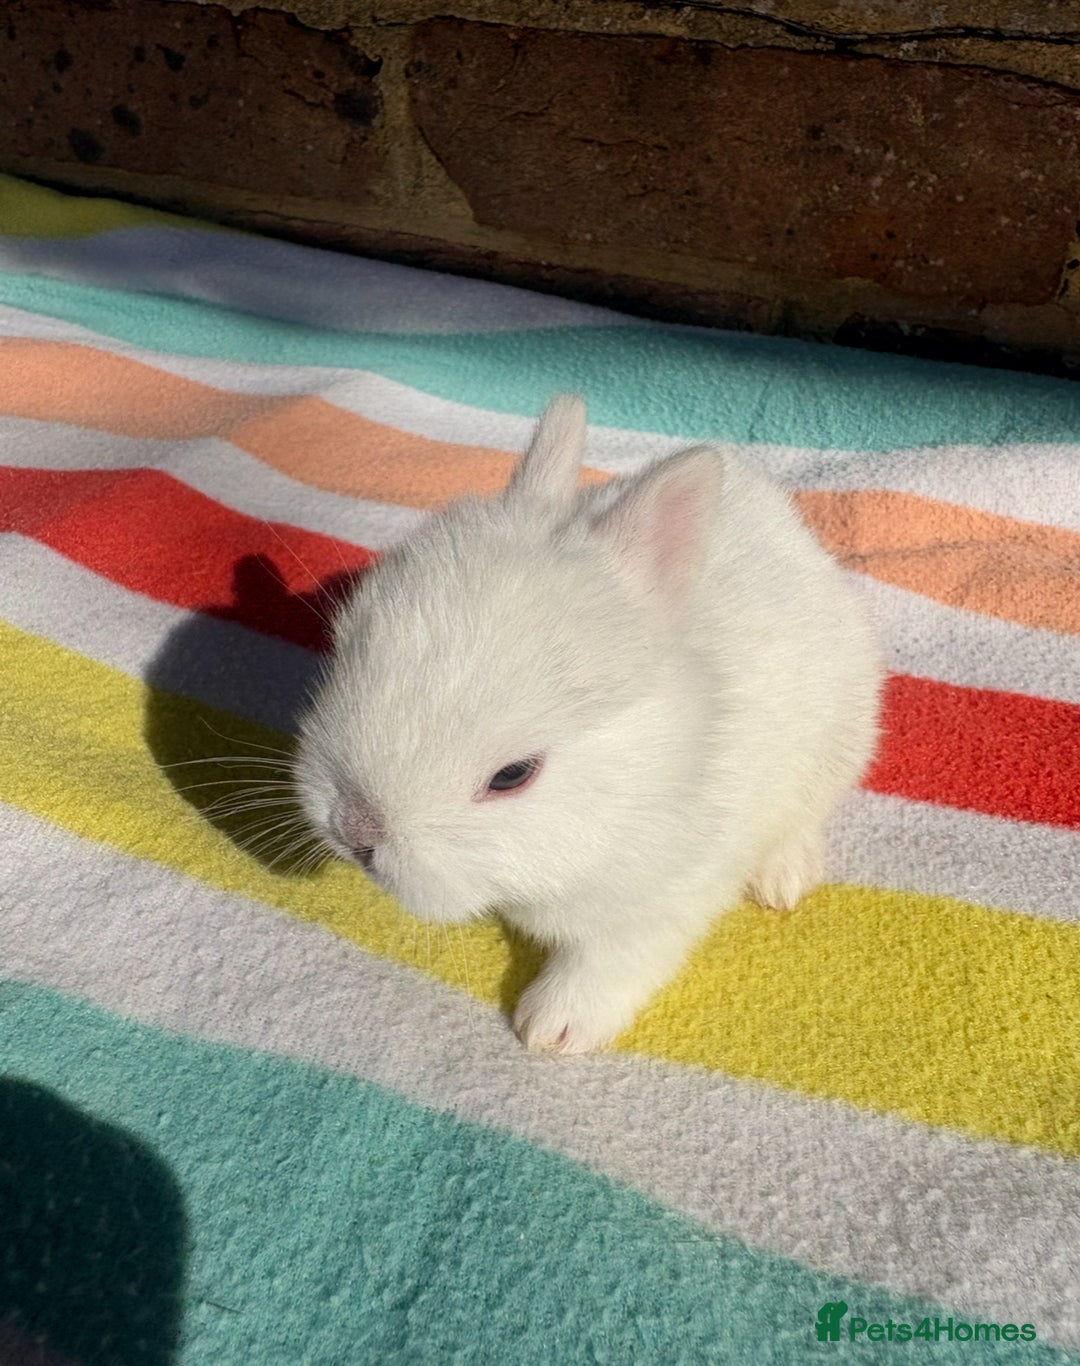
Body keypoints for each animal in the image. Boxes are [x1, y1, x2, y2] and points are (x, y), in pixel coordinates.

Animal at [295, 394, 884, 1055]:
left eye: (513, 775)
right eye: (345, 648)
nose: (354, 831)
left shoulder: (664, 898)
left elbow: (610, 962)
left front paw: (551, 1028)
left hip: (841, 739)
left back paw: (784, 879)